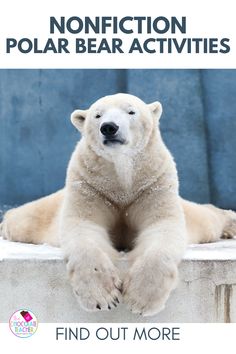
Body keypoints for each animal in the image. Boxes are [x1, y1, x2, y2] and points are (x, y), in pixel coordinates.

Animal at [0, 93, 236, 316]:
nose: (109, 127)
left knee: (206, 219)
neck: (122, 179)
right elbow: (84, 228)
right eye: (97, 115)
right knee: (23, 218)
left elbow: (162, 227)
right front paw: (104, 298)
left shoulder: (153, 184)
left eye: (131, 111)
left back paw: (230, 223)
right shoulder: (89, 184)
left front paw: (140, 301)